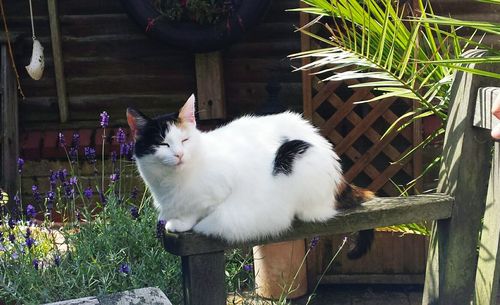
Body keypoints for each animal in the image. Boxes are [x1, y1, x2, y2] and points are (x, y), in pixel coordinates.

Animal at [127, 94, 374, 258]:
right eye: (163, 144)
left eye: (185, 140)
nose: (179, 154)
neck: (172, 181)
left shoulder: (223, 188)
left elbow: (199, 210)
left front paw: (181, 222)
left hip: (294, 157)